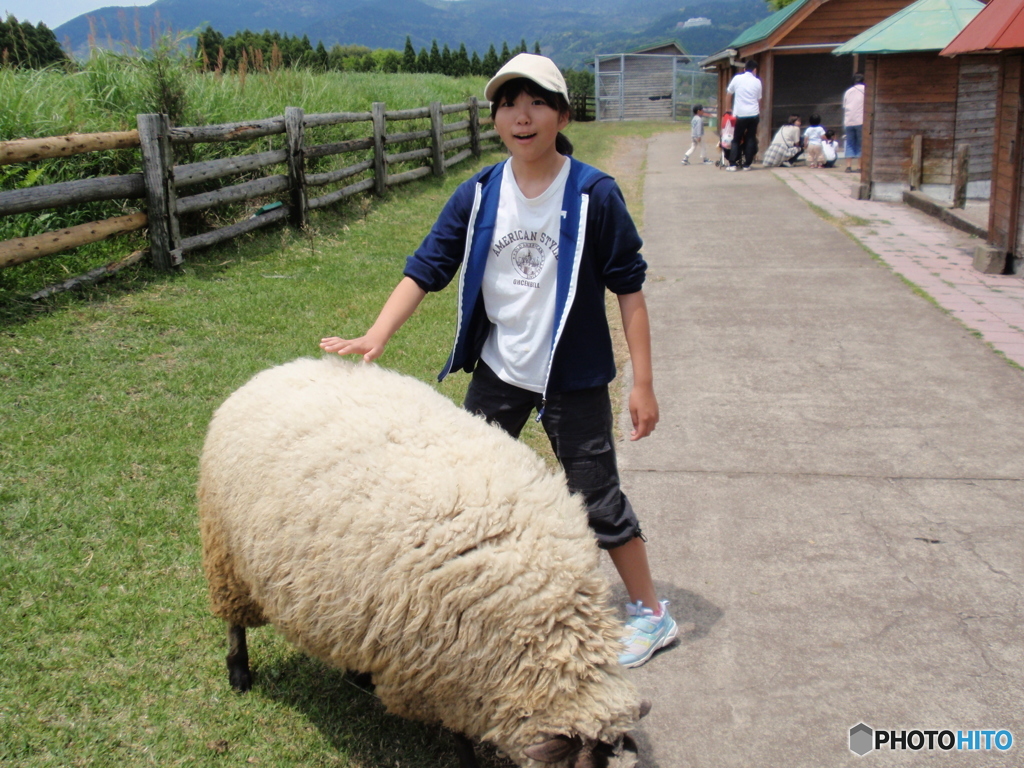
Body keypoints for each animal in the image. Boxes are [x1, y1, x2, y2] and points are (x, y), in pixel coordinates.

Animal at [198, 360, 647, 768]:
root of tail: (274, 371)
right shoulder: (443, 669)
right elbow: (459, 735)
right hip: (225, 552)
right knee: (234, 621)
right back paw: (239, 674)